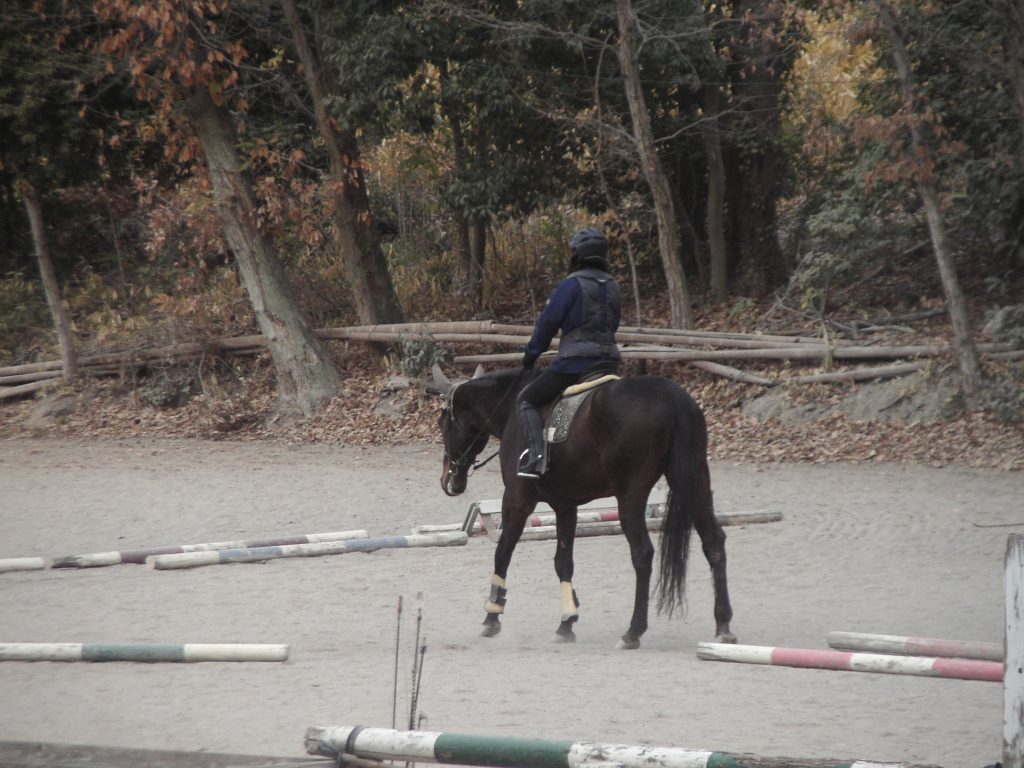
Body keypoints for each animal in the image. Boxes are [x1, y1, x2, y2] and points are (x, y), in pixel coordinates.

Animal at [433, 364, 736, 650]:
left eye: (442, 422)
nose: (449, 481)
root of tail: (673, 397)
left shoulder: (517, 502)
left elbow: (502, 553)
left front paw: (492, 616)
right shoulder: (565, 506)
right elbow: (563, 562)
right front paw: (566, 623)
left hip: (630, 496)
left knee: (642, 553)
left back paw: (633, 632)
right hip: (694, 481)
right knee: (713, 542)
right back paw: (723, 626)